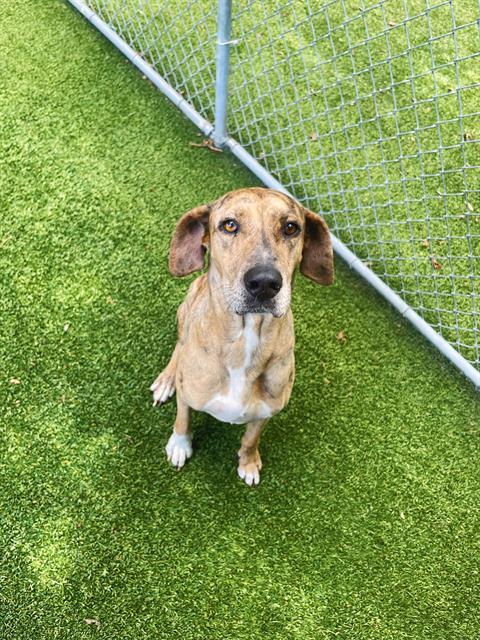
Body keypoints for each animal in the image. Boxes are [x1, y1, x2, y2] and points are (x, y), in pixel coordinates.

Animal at [151, 188, 334, 488]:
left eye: (291, 227)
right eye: (229, 225)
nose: (264, 283)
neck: (246, 340)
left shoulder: (266, 413)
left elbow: (250, 439)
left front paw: (248, 463)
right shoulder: (189, 397)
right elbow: (183, 420)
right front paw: (179, 445)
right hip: (185, 308)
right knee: (179, 347)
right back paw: (167, 380)